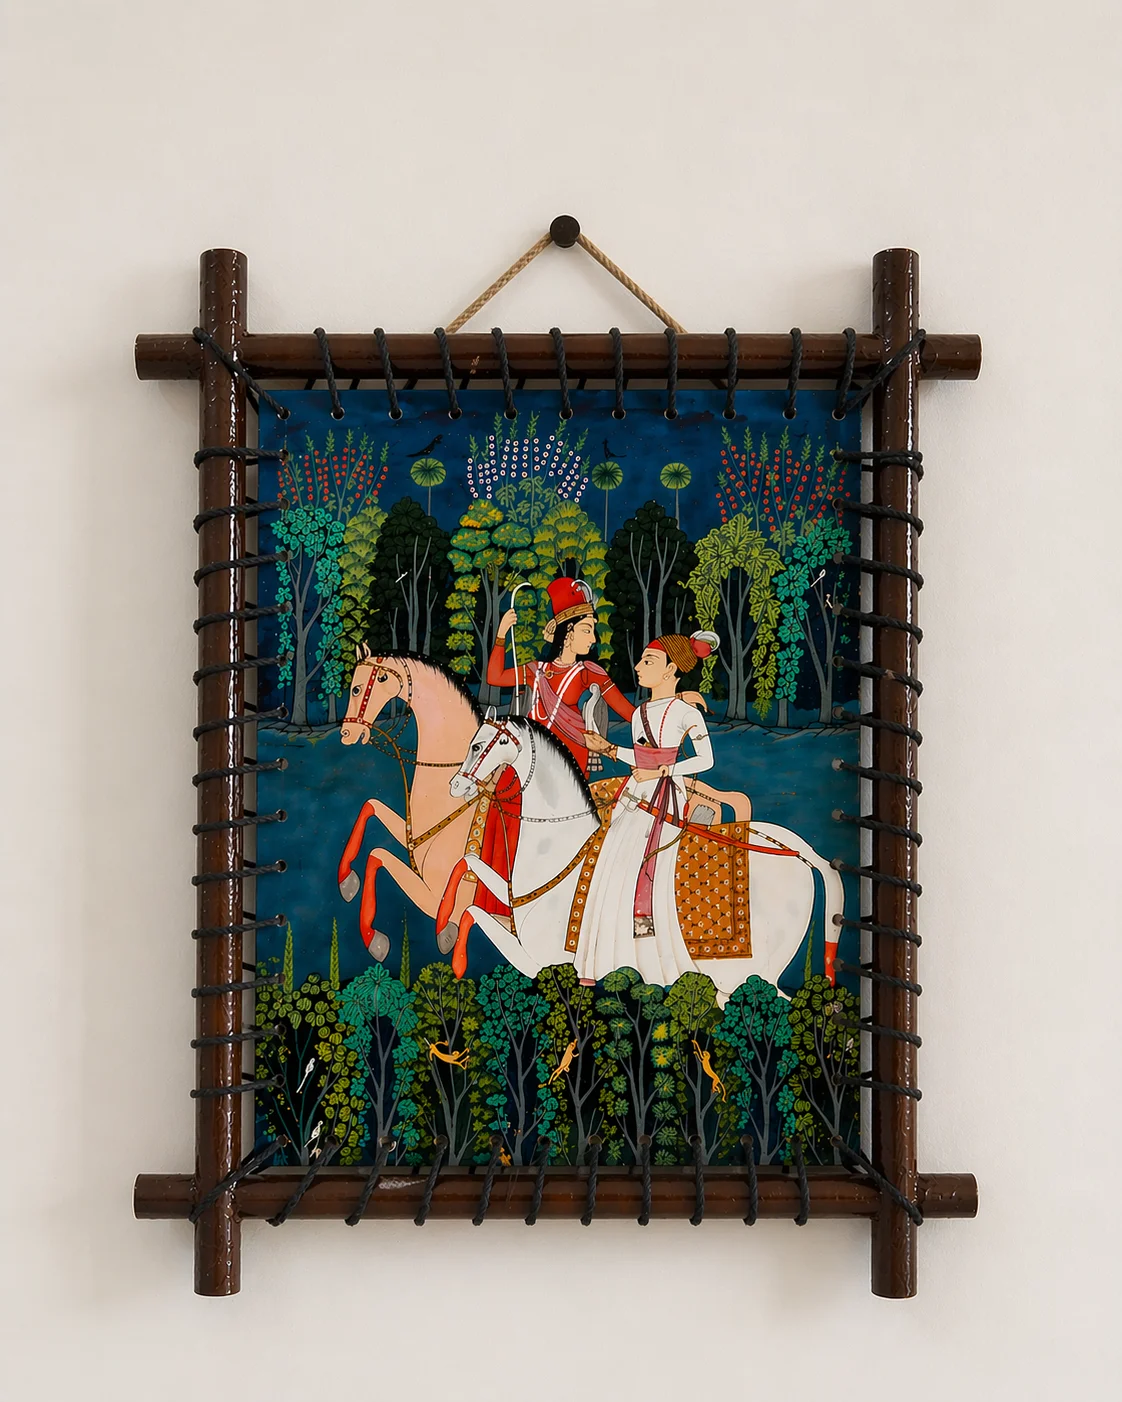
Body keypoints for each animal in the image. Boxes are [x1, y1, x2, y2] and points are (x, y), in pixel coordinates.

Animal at [337, 646, 483, 960]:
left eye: (356, 689)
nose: (346, 735)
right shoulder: (413, 836)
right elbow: (370, 806)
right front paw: (347, 882)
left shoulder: (434, 896)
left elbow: (377, 855)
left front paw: (375, 940)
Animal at [438, 714, 844, 997]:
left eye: (478, 746)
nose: (454, 786)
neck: (562, 847)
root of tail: (798, 849)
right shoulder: (516, 902)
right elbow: (468, 869)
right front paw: (444, 929)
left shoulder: (541, 961)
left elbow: (474, 910)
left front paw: (456, 962)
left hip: (750, 978)